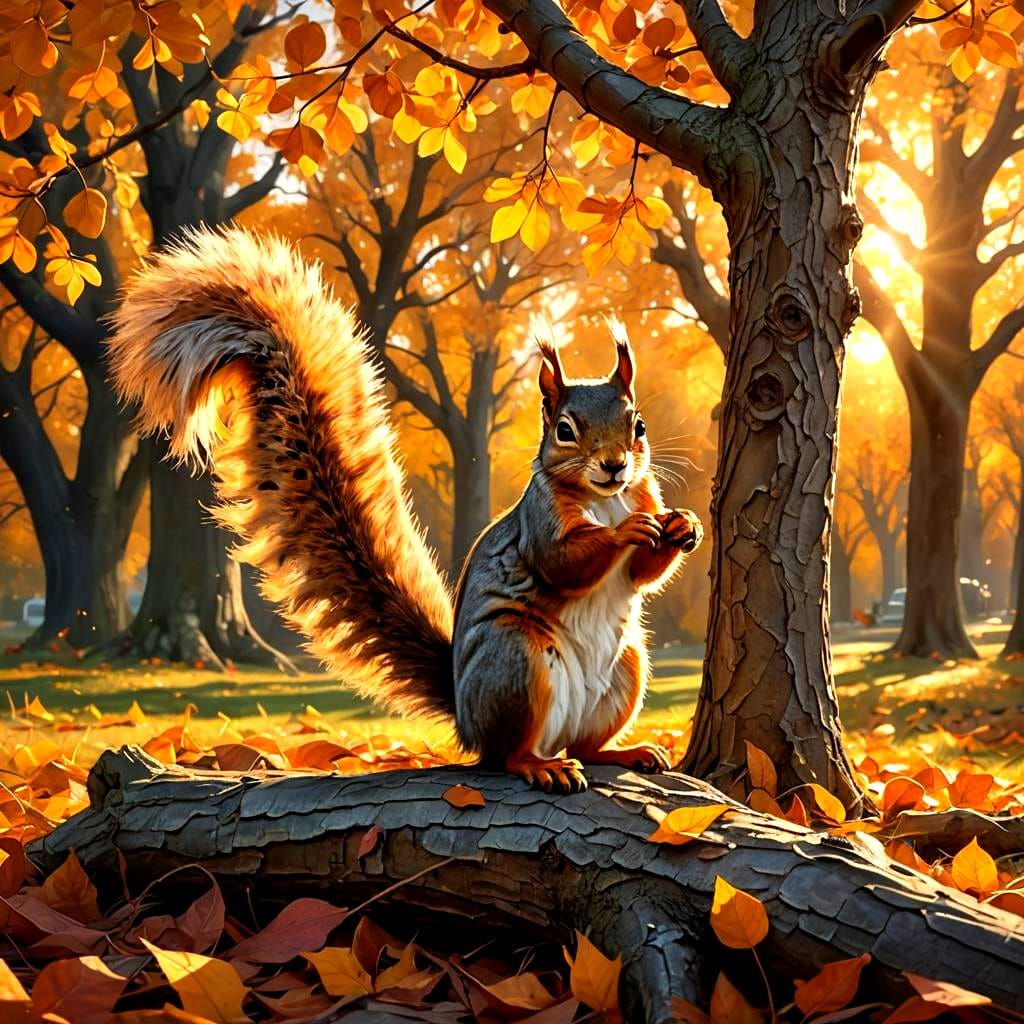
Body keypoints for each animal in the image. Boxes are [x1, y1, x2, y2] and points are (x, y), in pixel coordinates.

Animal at [108, 226, 704, 794]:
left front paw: (683, 526)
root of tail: (466, 719)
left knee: (585, 744)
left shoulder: (639, 493)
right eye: (564, 431)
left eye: (638, 425)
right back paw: (539, 765)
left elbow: (643, 575)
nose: (614, 465)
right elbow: (562, 562)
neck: (605, 499)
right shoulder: (540, 520)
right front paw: (629, 531)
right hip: (516, 660)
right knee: (509, 754)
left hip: (627, 669)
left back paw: (624, 751)